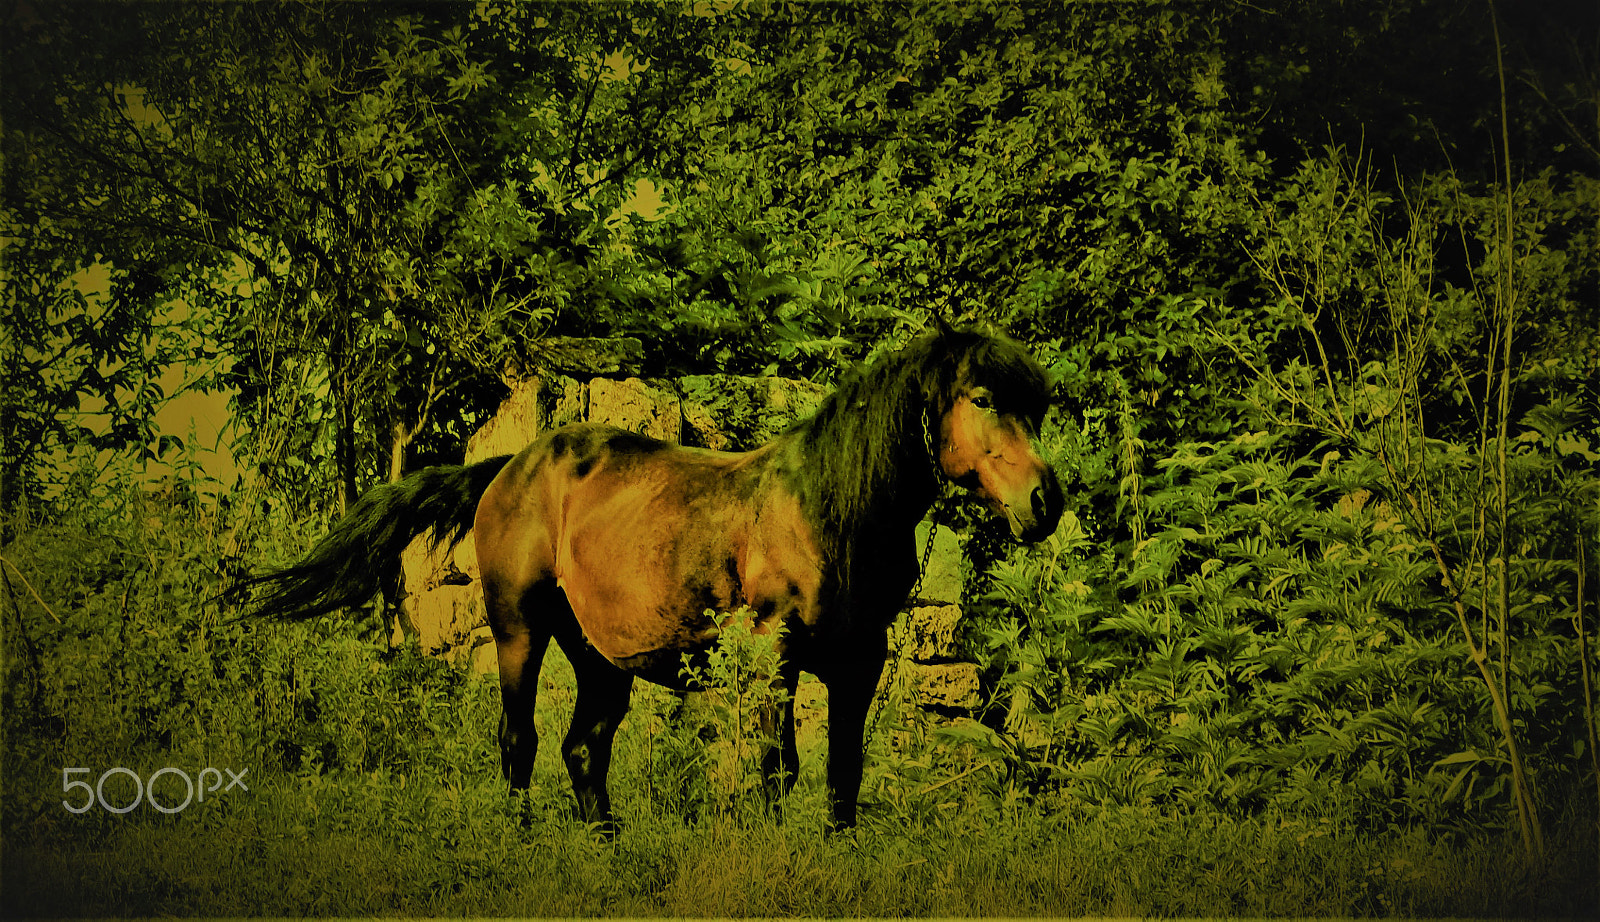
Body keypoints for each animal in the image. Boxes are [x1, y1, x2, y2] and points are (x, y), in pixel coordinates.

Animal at [242, 322, 1063, 830]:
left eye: (1038, 406)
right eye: (983, 398)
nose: (1044, 501)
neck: (829, 508)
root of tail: (509, 467)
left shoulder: (858, 663)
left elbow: (843, 774)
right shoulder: (774, 655)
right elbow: (777, 770)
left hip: (601, 658)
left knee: (583, 748)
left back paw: (602, 845)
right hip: (519, 629)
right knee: (519, 740)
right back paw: (522, 838)